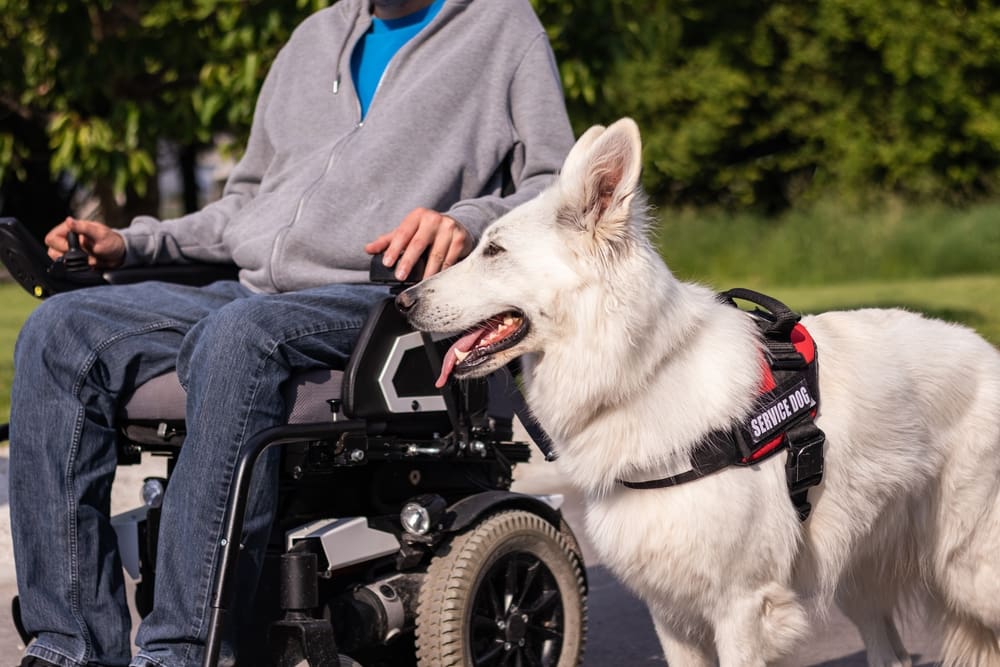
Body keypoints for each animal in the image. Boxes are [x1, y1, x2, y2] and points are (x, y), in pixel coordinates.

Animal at [398, 120, 1000, 667]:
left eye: (494, 251)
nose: (402, 300)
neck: (643, 373)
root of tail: (986, 350)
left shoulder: (741, 608)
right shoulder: (671, 614)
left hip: (970, 574)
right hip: (859, 578)